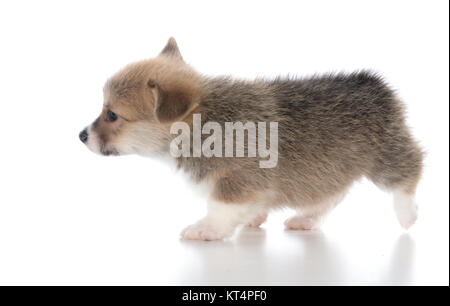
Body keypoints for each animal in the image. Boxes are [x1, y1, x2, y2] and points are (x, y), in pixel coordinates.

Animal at [80, 37, 422, 240]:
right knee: (330, 195)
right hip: (331, 169)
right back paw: (306, 219)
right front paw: (253, 218)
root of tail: (376, 87)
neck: (205, 119)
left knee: (409, 172)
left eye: (112, 115)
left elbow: (219, 208)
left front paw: (206, 229)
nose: (81, 135)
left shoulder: (238, 181)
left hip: (385, 156)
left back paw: (407, 214)